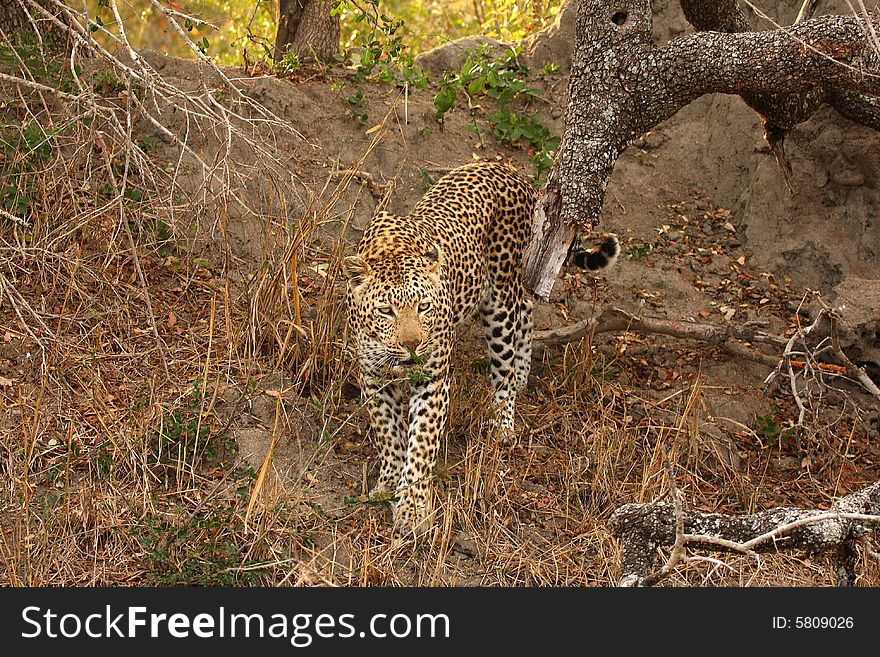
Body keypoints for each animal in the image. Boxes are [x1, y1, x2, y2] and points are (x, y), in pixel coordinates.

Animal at [344, 161, 620, 536]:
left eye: (424, 307)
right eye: (386, 311)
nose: (413, 346)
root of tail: (510, 170)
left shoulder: (432, 379)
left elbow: (421, 444)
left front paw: (413, 508)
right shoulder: (373, 375)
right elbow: (387, 432)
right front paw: (388, 481)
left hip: (500, 299)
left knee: (509, 346)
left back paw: (504, 417)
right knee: (527, 308)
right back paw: (522, 375)